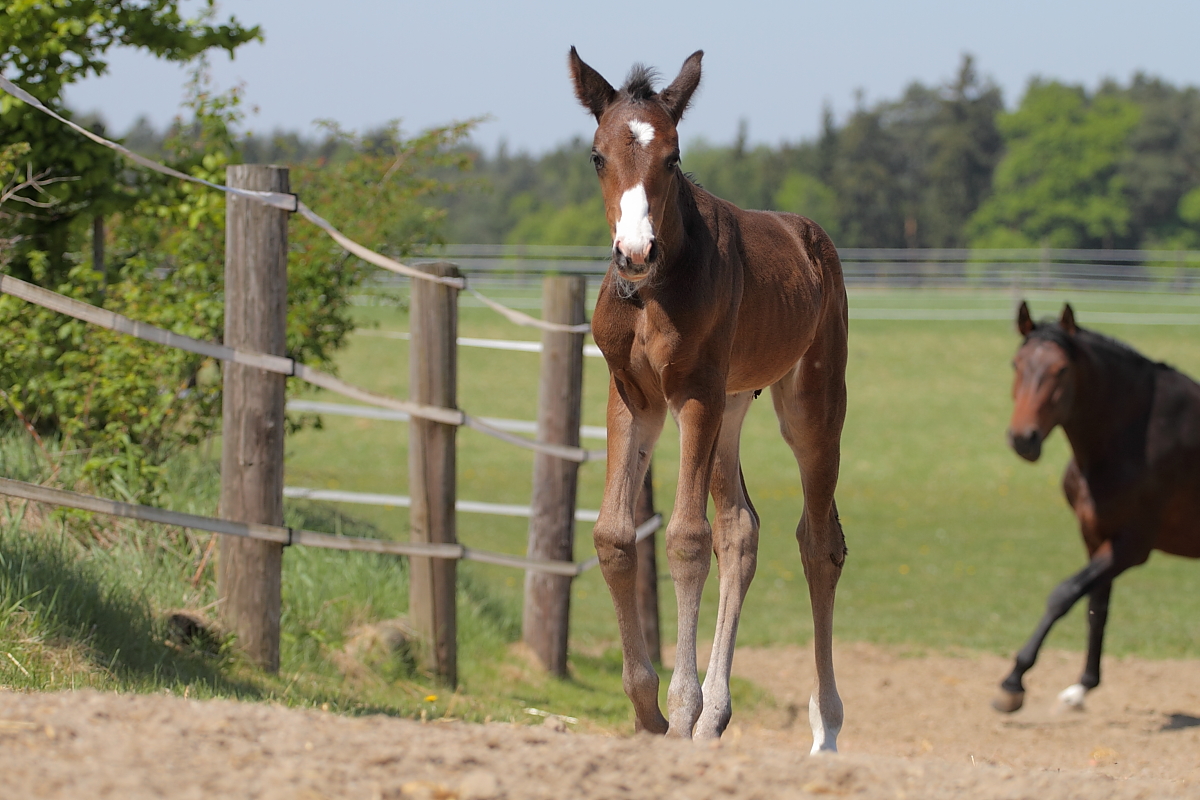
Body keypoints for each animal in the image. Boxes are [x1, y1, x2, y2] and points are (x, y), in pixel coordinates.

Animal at [566, 48, 849, 753]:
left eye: (672, 157)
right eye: (596, 155)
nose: (633, 252)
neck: (653, 290)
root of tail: (812, 239)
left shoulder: (692, 393)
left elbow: (686, 541)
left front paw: (680, 708)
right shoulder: (632, 396)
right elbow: (615, 534)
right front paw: (648, 709)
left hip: (809, 404)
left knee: (819, 542)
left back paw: (825, 729)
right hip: (733, 403)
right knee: (741, 529)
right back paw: (717, 716)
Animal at [993, 299, 1200, 714]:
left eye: (1061, 369)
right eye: (1016, 364)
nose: (1024, 438)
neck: (1133, 437)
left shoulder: (1132, 547)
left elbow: (1064, 595)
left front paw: (1014, 681)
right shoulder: (1095, 535)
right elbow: (1096, 607)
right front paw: (1083, 685)